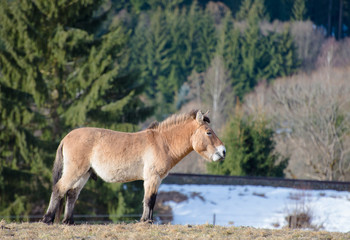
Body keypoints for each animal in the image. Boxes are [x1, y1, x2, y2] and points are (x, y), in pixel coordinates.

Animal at [41, 109, 227, 224]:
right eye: (209, 132)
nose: (223, 151)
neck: (162, 142)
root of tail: (66, 137)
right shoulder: (152, 177)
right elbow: (149, 200)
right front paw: (146, 221)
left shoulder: (156, 180)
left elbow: (151, 199)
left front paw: (148, 220)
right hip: (75, 171)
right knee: (59, 189)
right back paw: (47, 219)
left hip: (84, 174)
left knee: (71, 194)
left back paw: (69, 221)